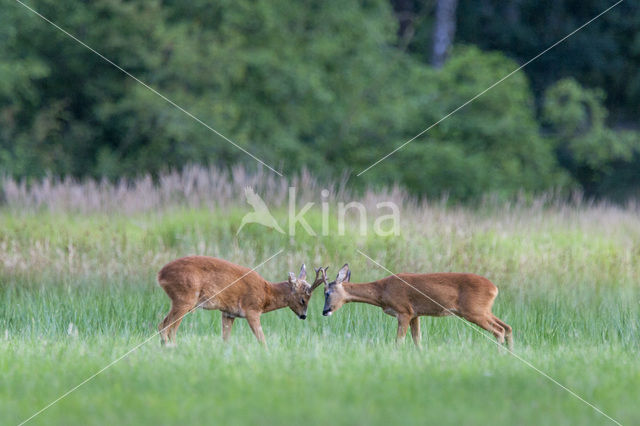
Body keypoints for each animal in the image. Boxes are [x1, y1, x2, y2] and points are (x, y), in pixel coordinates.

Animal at [156, 256, 324, 346]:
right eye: (303, 299)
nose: (303, 316)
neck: (267, 293)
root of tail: (160, 274)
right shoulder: (252, 310)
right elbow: (262, 339)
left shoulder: (228, 313)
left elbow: (226, 339)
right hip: (185, 298)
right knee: (168, 327)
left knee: (163, 325)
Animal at [322, 262, 512, 350]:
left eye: (327, 293)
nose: (324, 311)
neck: (382, 291)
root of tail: (494, 288)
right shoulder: (416, 314)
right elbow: (417, 340)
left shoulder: (404, 311)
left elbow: (399, 341)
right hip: (483, 310)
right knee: (507, 327)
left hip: (474, 311)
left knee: (499, 330)